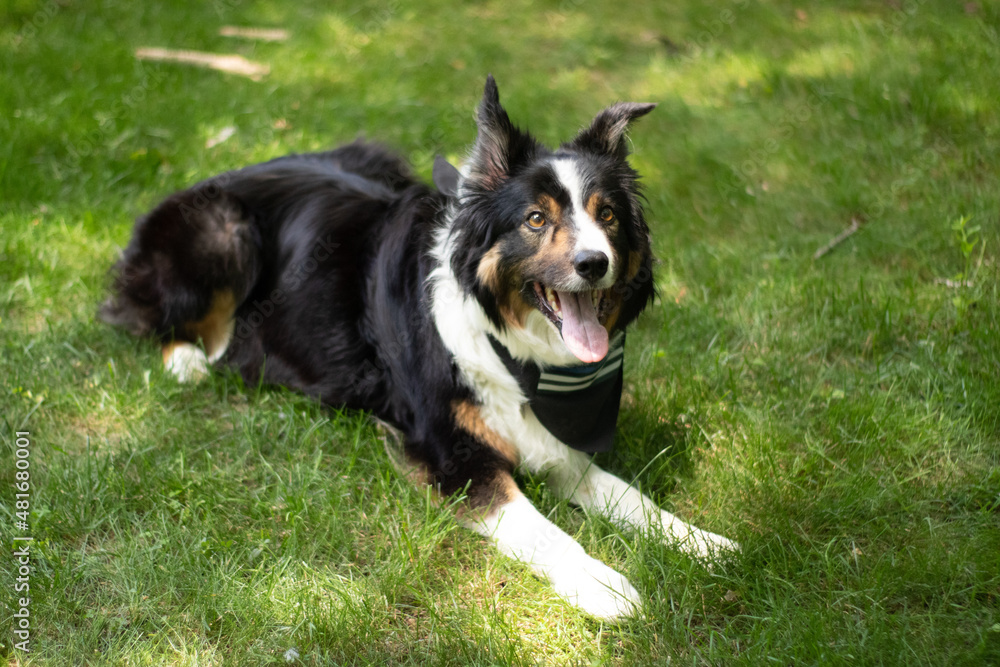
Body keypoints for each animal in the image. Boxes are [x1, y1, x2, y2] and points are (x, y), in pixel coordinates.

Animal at [101, 78, 740, 620]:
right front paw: (605, 587)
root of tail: (208, 178)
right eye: (536, 219)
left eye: (606, 215)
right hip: (224, 230)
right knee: (158, 320)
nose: (594, 263)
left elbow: (634, 499)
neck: (514, 351)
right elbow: (542, 530)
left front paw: (707, 544)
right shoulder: (450, 454)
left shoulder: (558, 447)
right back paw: (192, 360)